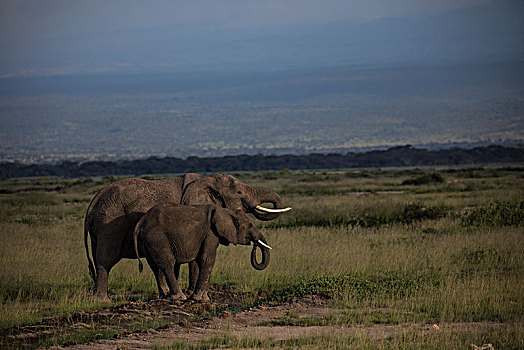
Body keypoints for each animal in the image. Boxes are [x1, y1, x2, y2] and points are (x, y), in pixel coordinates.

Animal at [133, 202, 272, 300]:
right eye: (249, 225)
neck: (226, 211)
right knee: (168, 264)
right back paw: (180, 297)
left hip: (148, 241)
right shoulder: (211, 232)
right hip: (157, 237)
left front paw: (202, 297)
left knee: (155, 266)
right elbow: (207, 259)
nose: (254, 244)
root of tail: (141, 222)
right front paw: (201, 299)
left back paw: (165, 296)